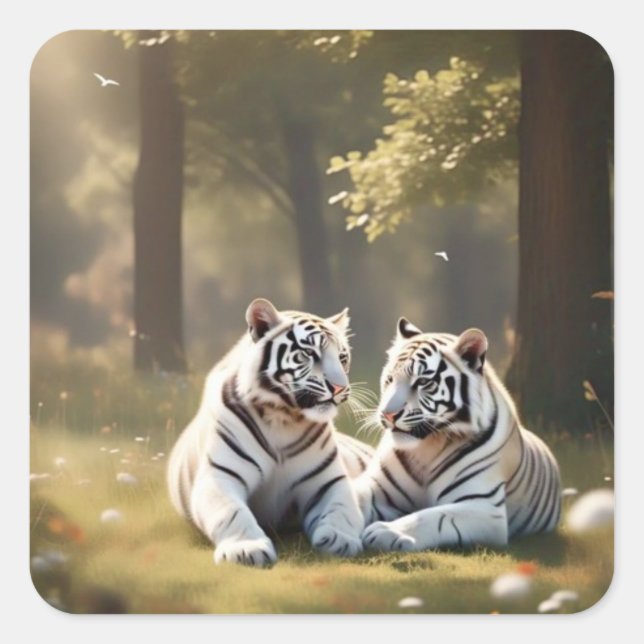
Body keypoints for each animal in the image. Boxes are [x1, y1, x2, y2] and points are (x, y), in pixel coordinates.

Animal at [167, 298, 373, 567]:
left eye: (342, 357)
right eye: (309, 353)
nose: (340, 388)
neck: (283, 418)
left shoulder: (329, 482)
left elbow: (342, 509)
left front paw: (340, 539)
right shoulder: (219, 477)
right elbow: (232, 512)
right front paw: (246, 550)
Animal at [356, 318, 561, 552]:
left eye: (422, 382)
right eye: (390, 379)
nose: (388, 414)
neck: (428, 446)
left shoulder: (484, 508)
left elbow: (433, 517)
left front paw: (386, 531)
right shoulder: (377, 487)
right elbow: (352, 495)